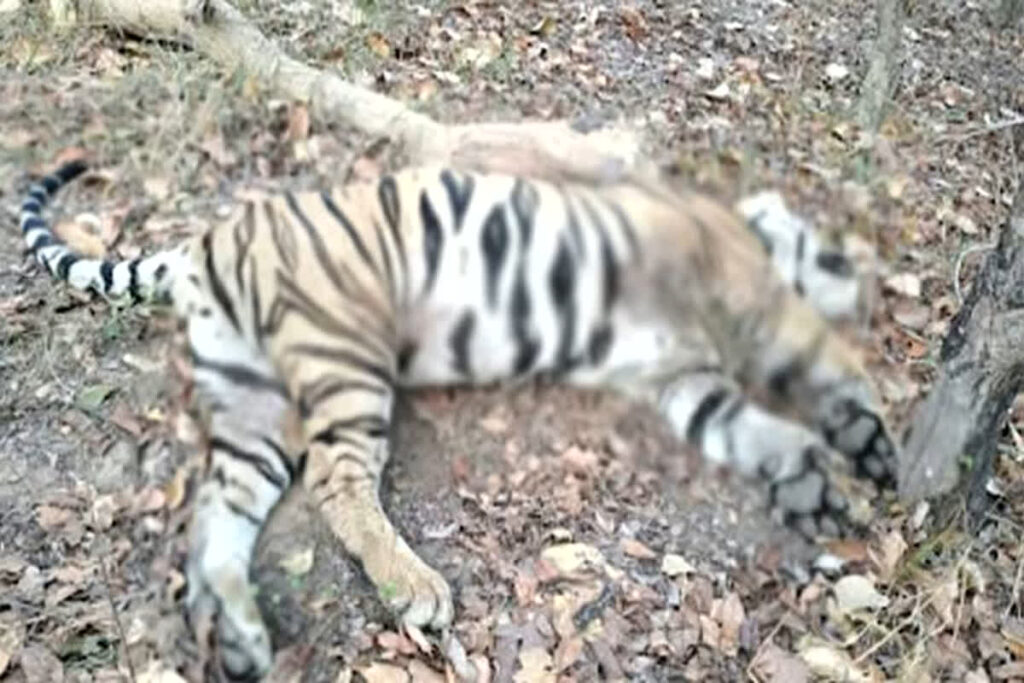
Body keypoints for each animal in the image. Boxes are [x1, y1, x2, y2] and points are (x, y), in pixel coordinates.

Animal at [16, 158, 897, 680]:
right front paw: (871, 447)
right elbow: (830, 366)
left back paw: (236, 636)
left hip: (250, 399)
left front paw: (812, 487)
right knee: (337, 482)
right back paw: (417, 591)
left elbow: (746, 428)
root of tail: (206, 240)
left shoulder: (678, 376)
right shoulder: (756, 301)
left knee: (216, 513)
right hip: (346, 352)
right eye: (834, 252)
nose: (863, 279)